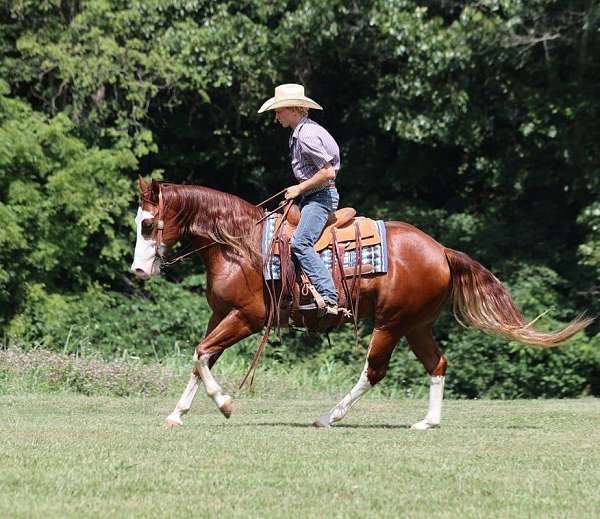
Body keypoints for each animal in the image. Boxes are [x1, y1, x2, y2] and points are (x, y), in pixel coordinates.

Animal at [129, 179, 592, 430]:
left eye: (148, 224)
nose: (137, 271)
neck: (240, 245)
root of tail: (441, 250)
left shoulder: (247, 317)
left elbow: (201, 353)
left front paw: (224, 404)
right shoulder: (220, 314)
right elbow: (201, 357)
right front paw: (178, 413)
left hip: (390, 323)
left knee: (374, 371)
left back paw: (328, 417)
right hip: (415, 324)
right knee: (437, 365)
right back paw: (428, 421)